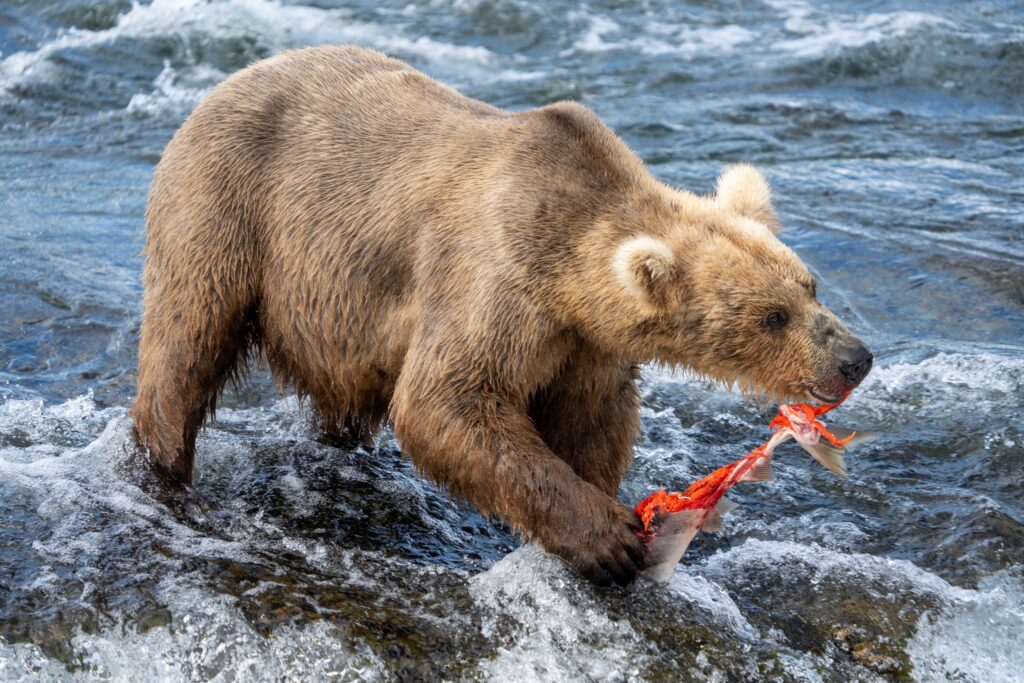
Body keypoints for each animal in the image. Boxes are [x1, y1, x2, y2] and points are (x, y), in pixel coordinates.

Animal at [131, 45, 872, 586]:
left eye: (810, 285)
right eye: (771, 316)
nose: (855, 358)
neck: (568, 267)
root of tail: (225, 82)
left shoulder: (583, 342)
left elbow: (591, 417)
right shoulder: (495, 281)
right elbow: (447, 400)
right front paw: (610, 539)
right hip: (228, 209)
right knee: (186, 341)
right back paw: (165, 474)